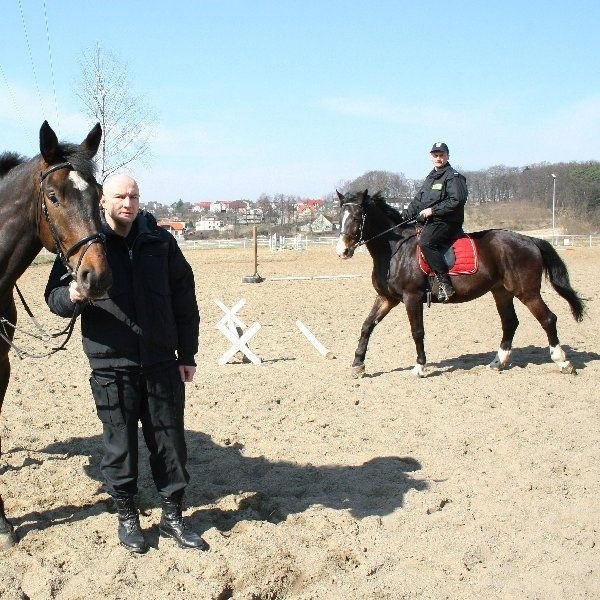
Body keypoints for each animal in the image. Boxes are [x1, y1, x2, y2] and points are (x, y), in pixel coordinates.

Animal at [336, 192, 584, 378]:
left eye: (357, 218)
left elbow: (417, 331)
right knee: (510, 323)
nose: (342, 251)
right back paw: (498, 362)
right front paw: (358, 365)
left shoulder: (411, 297)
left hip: (527, 292)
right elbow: (367, 325)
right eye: (340, 217)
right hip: (501, 292)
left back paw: (563, 362)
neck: (395, 250)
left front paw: (420, 366)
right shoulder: (387, 298)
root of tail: (530, 240)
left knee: (548, 319)